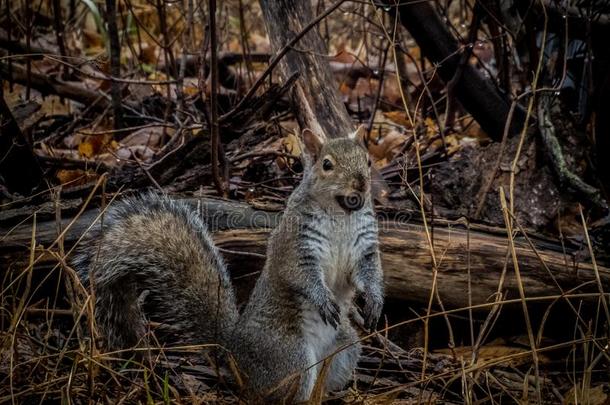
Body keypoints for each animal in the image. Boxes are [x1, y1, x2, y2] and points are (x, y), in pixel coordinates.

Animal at [73, 126, 382, 400]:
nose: (361, 184)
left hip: (345, 348)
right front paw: (323, 299)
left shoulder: (365, 248)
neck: (340, 214)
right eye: (327, 165)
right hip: (291, 358)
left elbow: (368, 273)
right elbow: (301, 275)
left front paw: (374, 301)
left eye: (368, 160)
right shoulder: (295, 246)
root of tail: (234, 353)